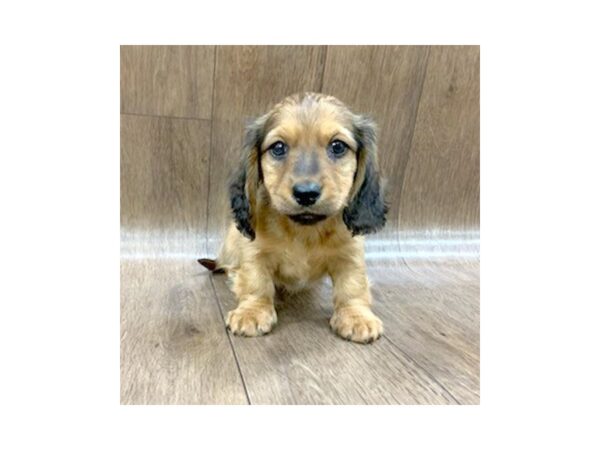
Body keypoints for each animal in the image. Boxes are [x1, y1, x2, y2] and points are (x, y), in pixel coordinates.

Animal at [202, 93, 390, 342]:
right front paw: (252, 311)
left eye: (338, 146)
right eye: (278, 147)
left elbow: (353, 286)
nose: (306, 193)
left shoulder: (350, 255)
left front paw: (356, 316)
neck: (304, 231)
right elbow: (256, 282)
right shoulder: (255, 252)